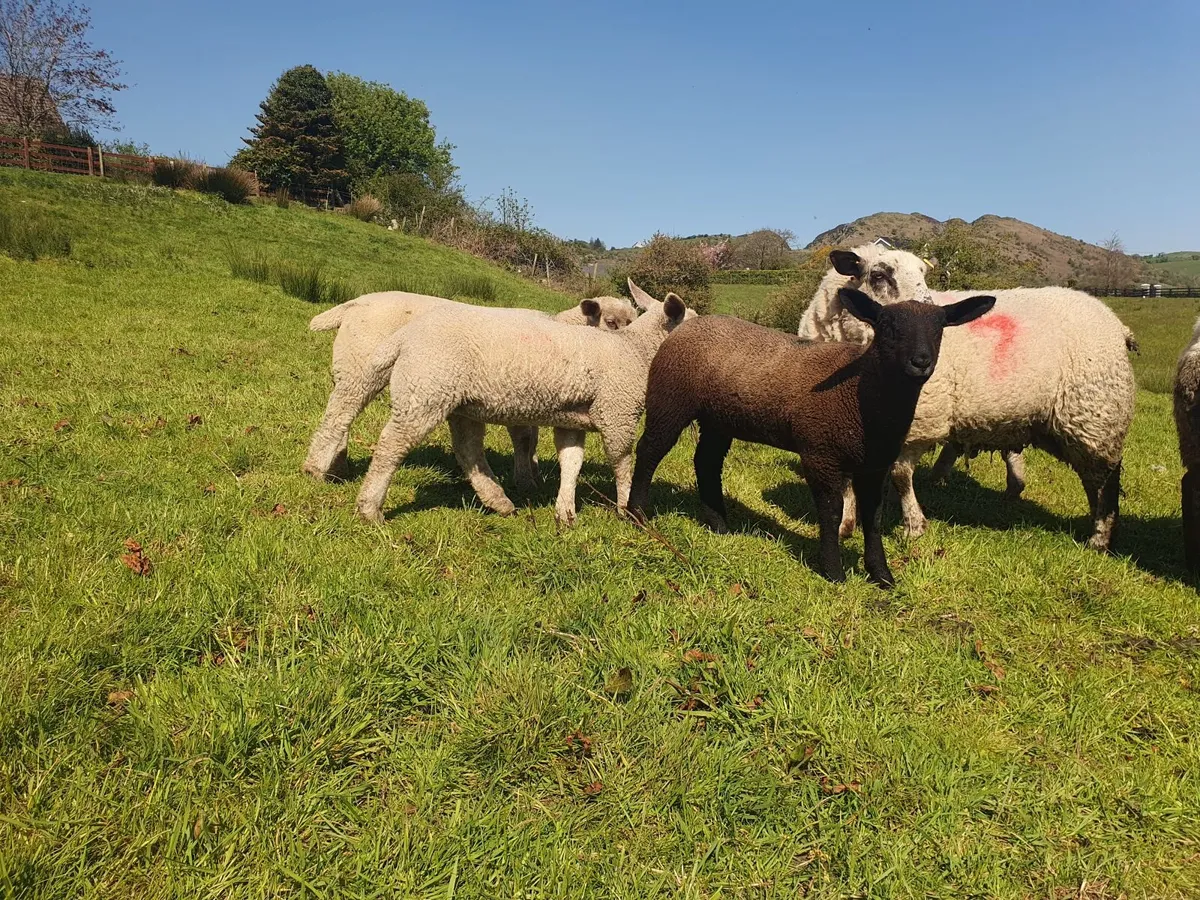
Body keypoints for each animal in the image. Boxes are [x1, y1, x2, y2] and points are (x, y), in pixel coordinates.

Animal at [302, 291, 638, 483]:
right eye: (610, 322)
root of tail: (356, 303)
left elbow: (531, 438)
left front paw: (532, 471)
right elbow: (524, 438)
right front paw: (525, 480)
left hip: (353, 368)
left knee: (341, 414)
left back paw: (337, 466)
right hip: (360, 365)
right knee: (339, 414)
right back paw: (315, 469)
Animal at [354, 281, 694, 526]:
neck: (636, 350)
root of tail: (405, 337)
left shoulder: (571, 419)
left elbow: (571, 461)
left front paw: (565, 512)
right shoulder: (617, 411)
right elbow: (622, 462)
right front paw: (627, 507)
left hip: (457, 401)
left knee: (468, 450)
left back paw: (500, 502)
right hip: (424, 391)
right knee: (391, 446)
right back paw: (370, 509)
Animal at [627, 288, 995, 586]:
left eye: (940, 329)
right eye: (887, 327)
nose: (921, 362)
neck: (861, 392)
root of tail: (685, 326)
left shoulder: (875, 464)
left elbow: (873, 517)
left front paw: (881, 575)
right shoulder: (821, 452)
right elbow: (831, 512)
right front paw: (833, 572)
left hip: (719, 418)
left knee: (706, 462)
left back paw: (718, 524)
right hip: (670, 398)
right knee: (650, 450)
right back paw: (637, 514)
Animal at [798, 248, 1137, 550]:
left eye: (923, 275)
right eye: (879, 275)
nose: (934, 314)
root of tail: (1117, 324)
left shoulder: (919, 421)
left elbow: (901, 475)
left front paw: (913, 527)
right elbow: (847, 479)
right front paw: (845, 525)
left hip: (1095, 413)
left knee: (1106, 478)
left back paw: (1099, 538)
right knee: (1091, 479)